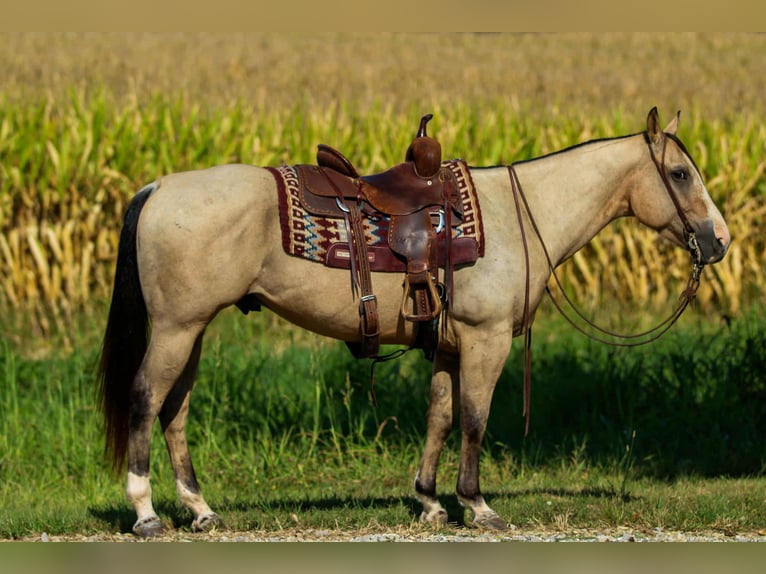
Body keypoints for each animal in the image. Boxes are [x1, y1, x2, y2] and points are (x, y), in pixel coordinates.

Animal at [98, 108, 730, 537]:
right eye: (679, 174)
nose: (719, 240)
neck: (518, 214)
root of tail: (159, 187)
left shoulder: (448, 347)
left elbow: (439, 417)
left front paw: (428, 500)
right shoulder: (485, 340)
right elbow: (474, 419)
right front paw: (477, 504)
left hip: (193, 330)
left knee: (175, 408)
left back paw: (200, 509)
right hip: (177, 328)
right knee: (146, 398)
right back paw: (146, 511)